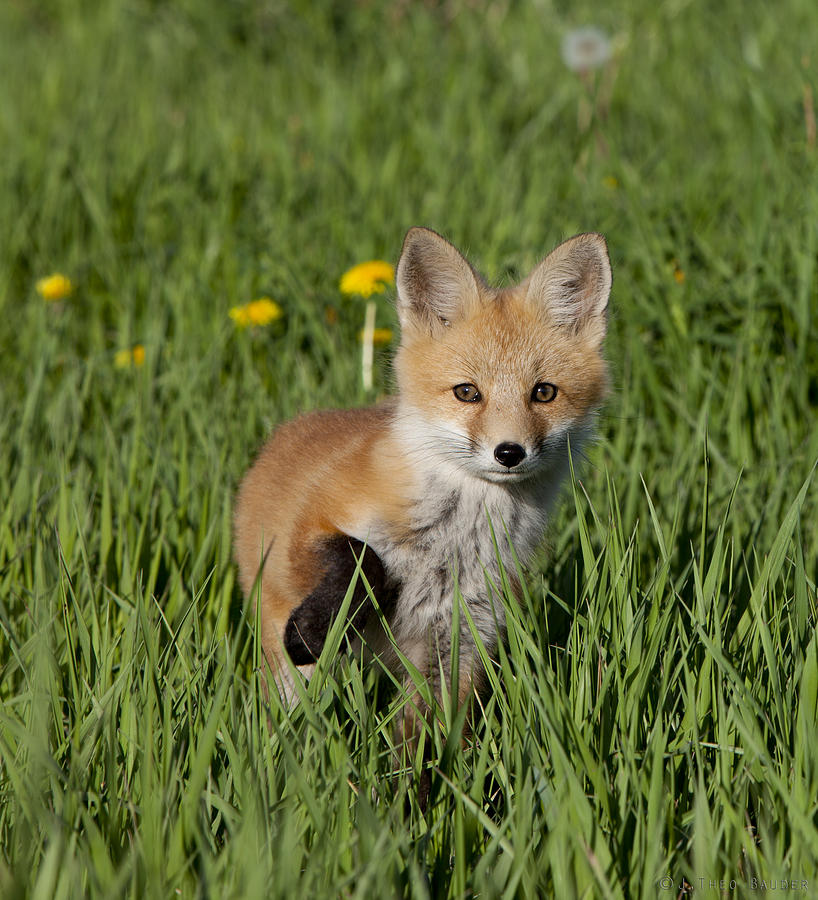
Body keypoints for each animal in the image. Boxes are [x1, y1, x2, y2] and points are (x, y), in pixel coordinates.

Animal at [233, 229, 608, 712]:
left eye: (544, 393)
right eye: (467, 392)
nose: (509, 452)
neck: (452, 538)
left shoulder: (457, 641)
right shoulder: (301, 535)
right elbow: (364, 559)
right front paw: (313, 630)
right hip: (290, 675)